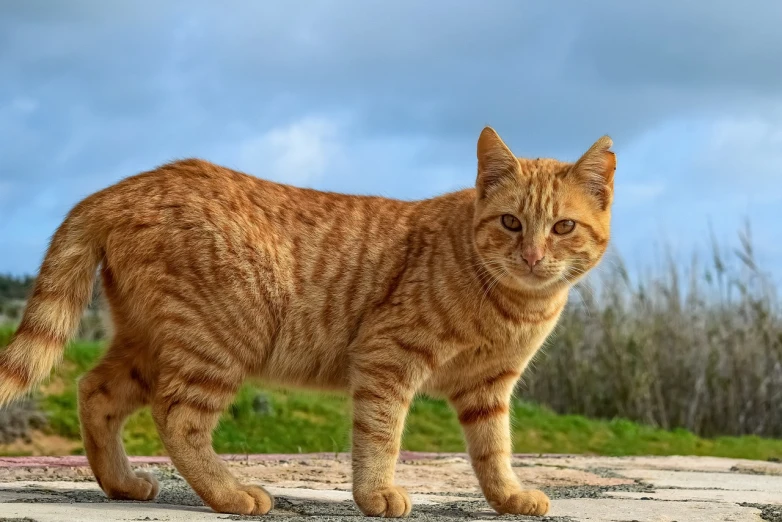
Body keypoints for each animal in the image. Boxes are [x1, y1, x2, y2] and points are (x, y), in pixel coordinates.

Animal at [0, 127, 620, 516]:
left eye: (562, 228)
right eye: (511, 223)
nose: (532, 256)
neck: (514, 306)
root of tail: (125, 184)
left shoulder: (488, 389)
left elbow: (495, 451)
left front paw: (508, 497)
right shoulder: (387, 356)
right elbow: (381, 436)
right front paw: (377, 496)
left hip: (147, 344)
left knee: (95, 391)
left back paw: (122, 483)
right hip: (220, 339)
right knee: (178, 418)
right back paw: (231, 494)